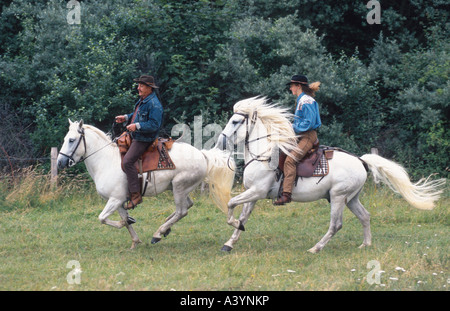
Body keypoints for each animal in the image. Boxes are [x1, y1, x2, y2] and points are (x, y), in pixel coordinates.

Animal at [57, 120, 234, 250]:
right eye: (65, 139)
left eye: (71, 140)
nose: (60, 162)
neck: (105, 160)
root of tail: (202, 155)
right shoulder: (118, 201)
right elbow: (120, 220)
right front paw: (134, 240)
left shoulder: (115, 199)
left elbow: (103, 218)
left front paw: (127, 222)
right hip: (180, 188)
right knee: (187, 206)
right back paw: (165, 228)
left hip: (179, 187)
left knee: (182, 211)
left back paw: (158, 233)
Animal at [216, 97, 444, 254]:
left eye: (235, 121)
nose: (221, 142)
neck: (263, 154)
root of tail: (361, 161)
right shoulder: (252, 193)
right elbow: (242, 214)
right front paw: (230, 242)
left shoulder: (257, 191)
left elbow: (230, 204)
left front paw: (235, 226)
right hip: (351, 198)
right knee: (365, 216)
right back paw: (365, 244)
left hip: (338, 197)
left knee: (336, 225)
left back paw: (316, 248)